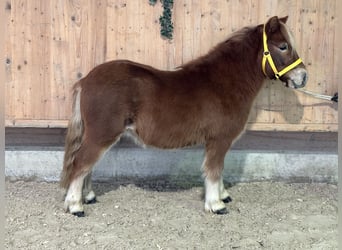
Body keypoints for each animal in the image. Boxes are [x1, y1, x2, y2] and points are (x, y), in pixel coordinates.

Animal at [60, 16, 308, 217]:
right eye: (283, 46)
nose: (303, 77)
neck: (224, 82)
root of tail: (86, 80)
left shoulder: (217, 142)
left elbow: (219, 169)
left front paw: (223, 196)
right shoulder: (219, 140)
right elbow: (214, 170)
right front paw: (216, 204)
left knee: (86, 165)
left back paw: (87, 197)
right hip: (102, 135)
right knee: (81, 163)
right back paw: (75, 206)